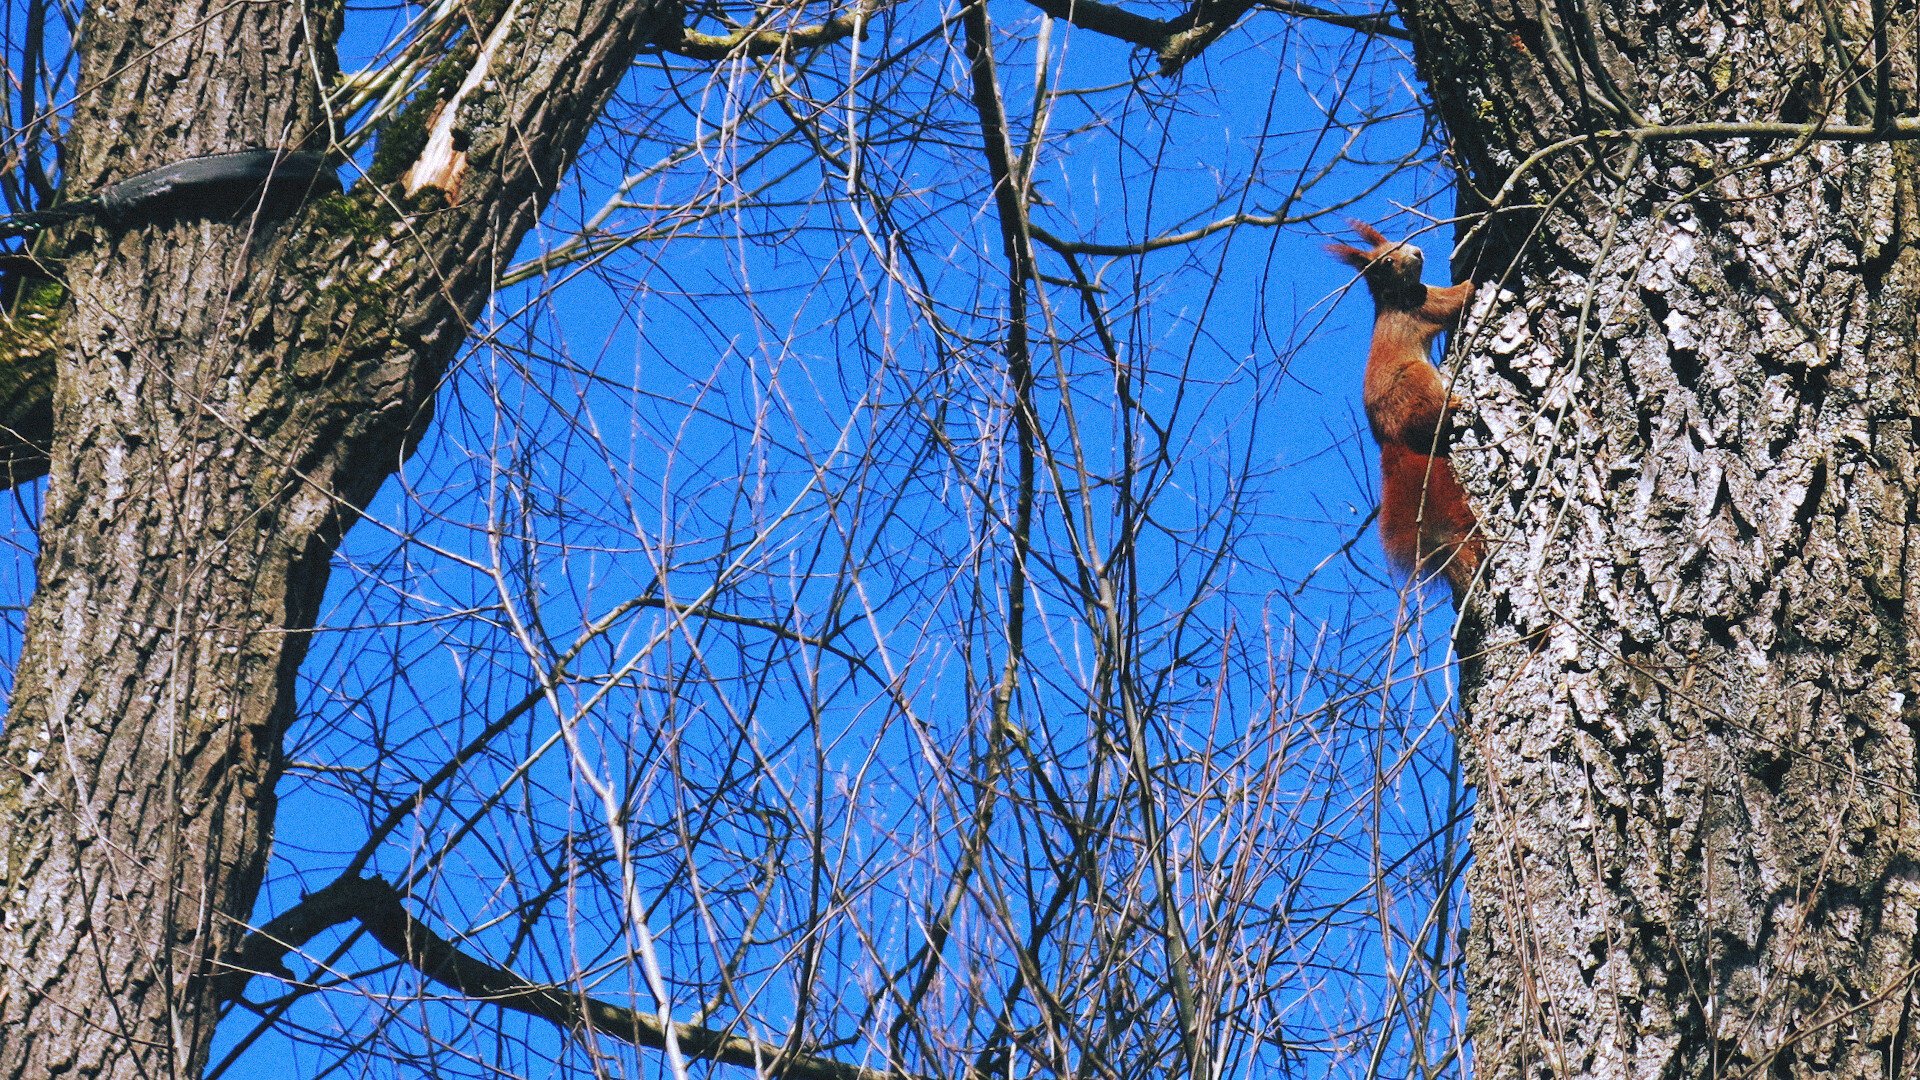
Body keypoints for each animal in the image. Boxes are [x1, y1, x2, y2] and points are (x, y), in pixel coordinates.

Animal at [1336, 221, 1482, 599]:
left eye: (1399, 243)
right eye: (1386, 262)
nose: (1416, 252)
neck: (1394, 297)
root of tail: (1390, 438)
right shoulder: (1424, 304)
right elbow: (1457, 298)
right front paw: (1474, 276)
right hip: (1415, 380)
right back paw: (1452, 404)